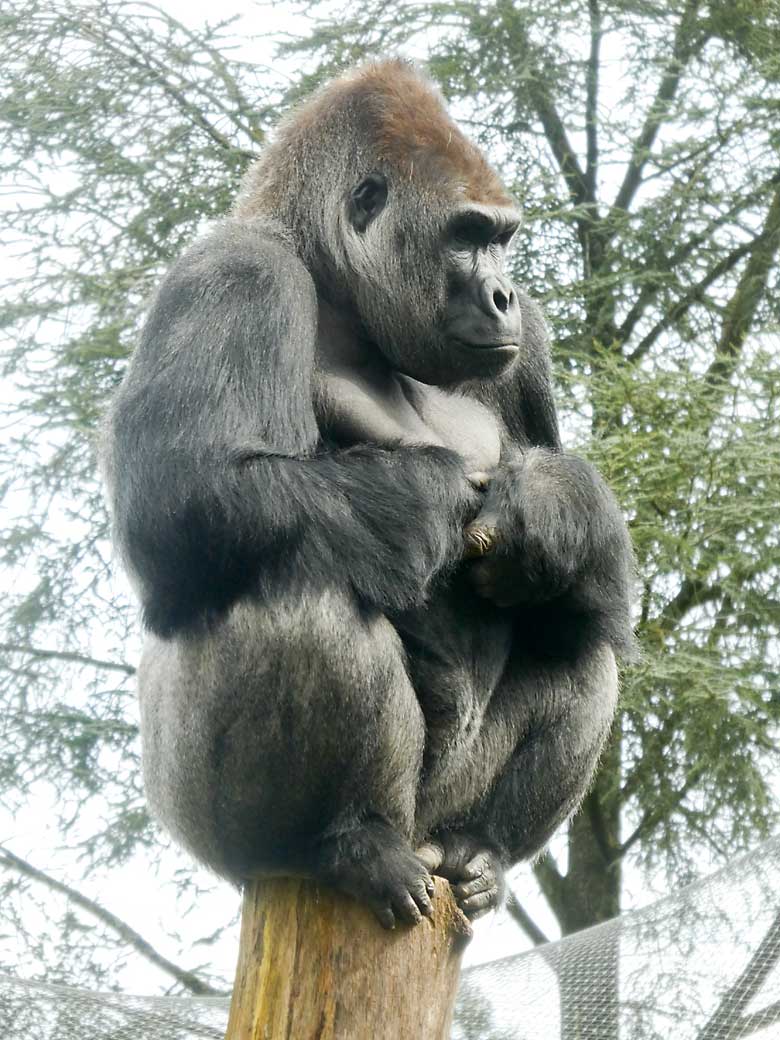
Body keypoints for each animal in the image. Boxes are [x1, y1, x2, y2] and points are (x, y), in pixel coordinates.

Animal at [104, 60, 636, 931]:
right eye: (466, 235)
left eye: (502, 239)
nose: (502, 295)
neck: (332, 277)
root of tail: (415, 834)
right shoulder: (234, 273)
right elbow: (182, 499)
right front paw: (426, 493)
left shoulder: (529, 340)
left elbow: (573, 535)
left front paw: (554, 513)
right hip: (208, 826)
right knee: (302, 588)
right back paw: (341, 840)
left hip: (437, 813)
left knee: (578, 634)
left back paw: (483, 846)